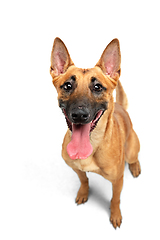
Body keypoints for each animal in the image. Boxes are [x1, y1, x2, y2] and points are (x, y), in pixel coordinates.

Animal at [49, 37, 141, 229]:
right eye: (67, 85)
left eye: (98, 87)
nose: (79, 115)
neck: (93, 146)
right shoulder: (76, 168)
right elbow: (84, 180)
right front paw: (84, 193)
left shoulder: (118, 180)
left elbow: (115, 199)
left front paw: (115, 214)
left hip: (131, 150)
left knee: (134, 158)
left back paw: (135, 166)